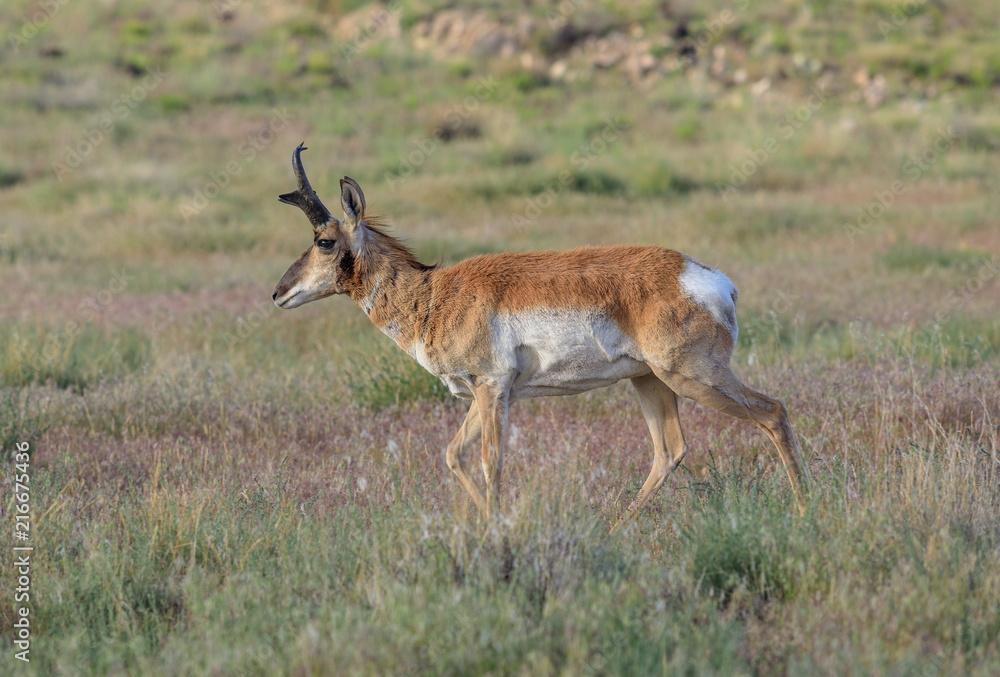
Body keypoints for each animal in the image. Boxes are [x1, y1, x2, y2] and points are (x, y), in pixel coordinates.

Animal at [272, 144, 809, 525]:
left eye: (324, 241)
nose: (278, 293)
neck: (435, 294)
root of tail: (709, 278)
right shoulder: (485, 394)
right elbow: (453, 455)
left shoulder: (492, 389)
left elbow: (489, 462)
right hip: (650, 381)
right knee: (669, 451)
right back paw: (616, 528)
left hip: (693, 377)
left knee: (772, 411)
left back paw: (807, 512)